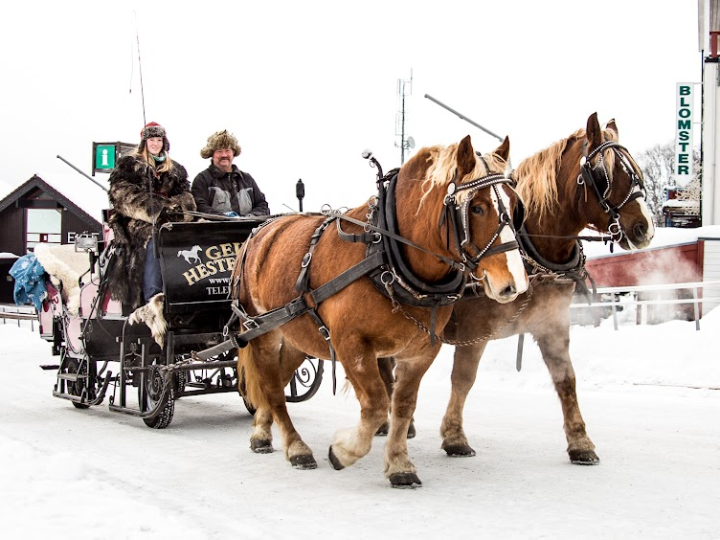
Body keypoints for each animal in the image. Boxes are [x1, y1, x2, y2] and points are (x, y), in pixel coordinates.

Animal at [232, 135, 529, 488]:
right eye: (477, 207)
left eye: (516, 206)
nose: (515, 284)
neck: (385, 256)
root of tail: (259, 231)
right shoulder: (351, 345)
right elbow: (375, 405)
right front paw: (343, 451)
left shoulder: (421, 350)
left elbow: (402, 405)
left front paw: (399, 464)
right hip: (261, 331)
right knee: (273, 388)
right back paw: (295, 447)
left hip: (296, 334)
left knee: (277, 378)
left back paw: (262, 432)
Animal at [380, 112, 655, 464]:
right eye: (603, 173)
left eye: (634, 169)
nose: (645, 228)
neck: (529, 248)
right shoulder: (474, 331)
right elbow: (463, 379)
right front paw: (454, 436)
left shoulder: (553, 325)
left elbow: (566, 379)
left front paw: (580, 442)